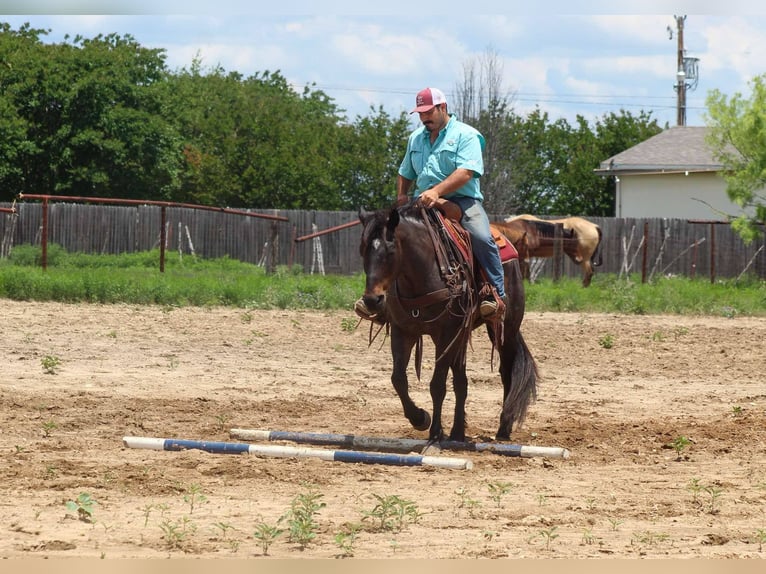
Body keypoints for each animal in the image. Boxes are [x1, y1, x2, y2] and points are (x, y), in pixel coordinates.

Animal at [358, 202, 538, 445]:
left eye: (391, 250)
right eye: (363, 249)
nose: (372, 300)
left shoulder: (446, 333)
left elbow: (437, 385)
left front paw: (435, 432)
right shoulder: (402, 331)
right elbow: (398, 379)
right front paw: (420, 418)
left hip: (504, 329)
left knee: (506, 371)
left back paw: (503, 427)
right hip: (462, 337)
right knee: (462, 382)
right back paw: (457, 433)